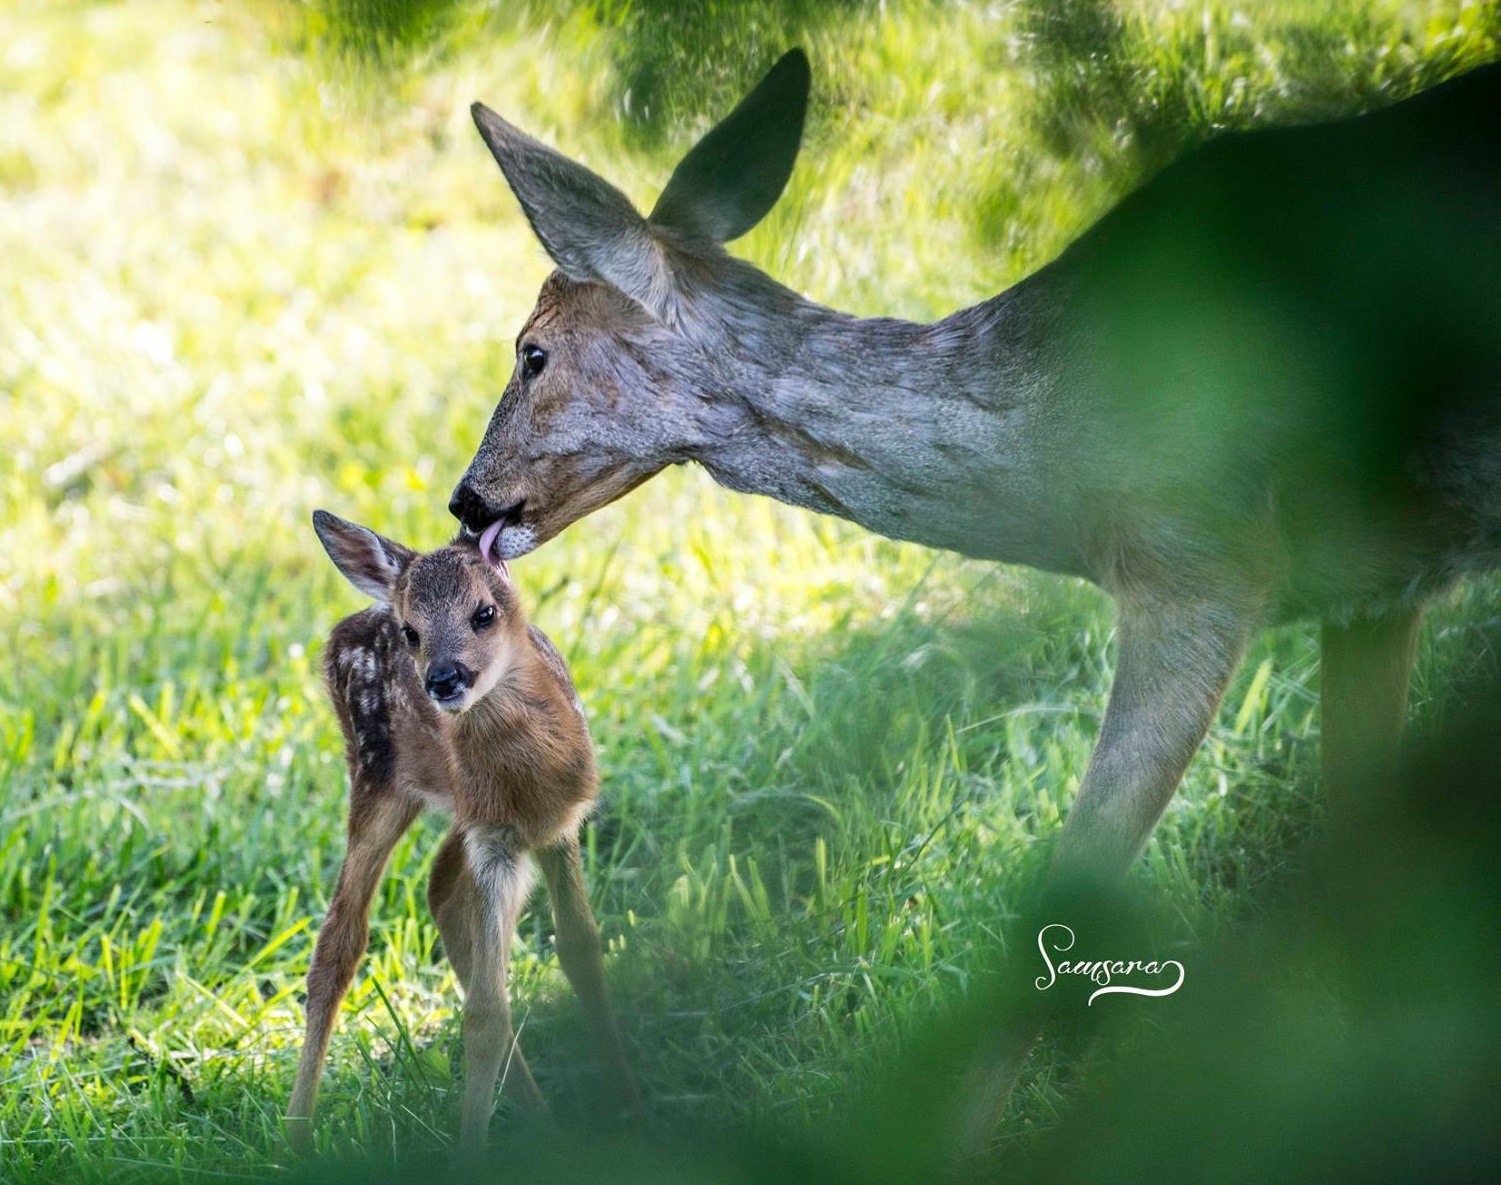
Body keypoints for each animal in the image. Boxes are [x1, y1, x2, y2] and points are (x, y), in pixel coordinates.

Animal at [287, 510, 639, 1154]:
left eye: (484, 613)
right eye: (411, 632)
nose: (443, 679)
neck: (528, 778)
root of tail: (355, 617)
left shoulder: (555, 828)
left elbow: (581, 950)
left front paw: (631, 1105)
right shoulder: (494, 838)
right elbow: (486, 1012)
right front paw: (472, 1149)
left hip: (456, 810)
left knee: (440, 895)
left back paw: (539, 1114)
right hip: (378, 778)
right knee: (340, 938)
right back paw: (295, 1140)